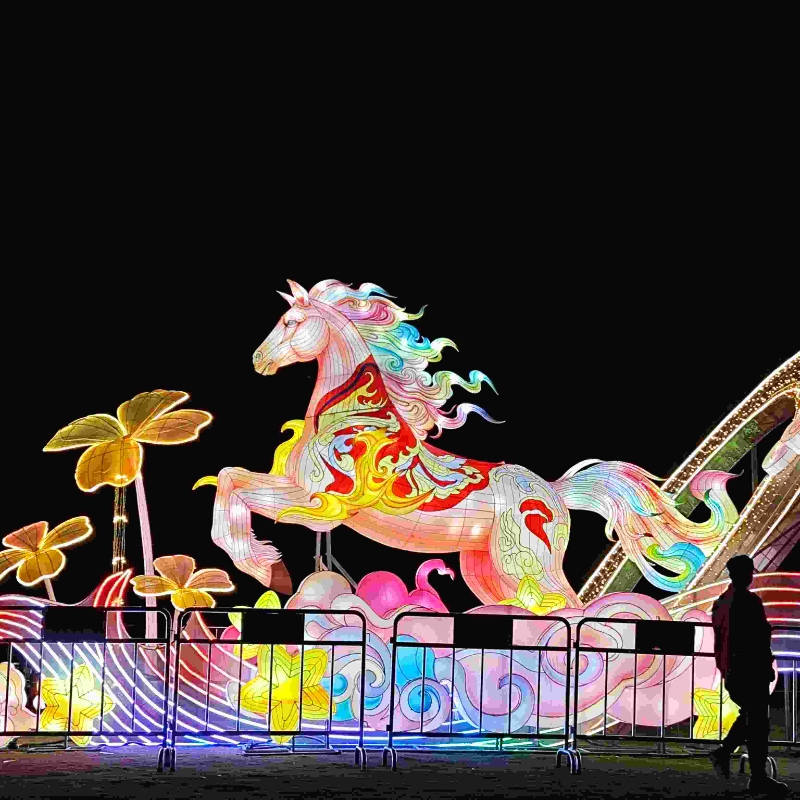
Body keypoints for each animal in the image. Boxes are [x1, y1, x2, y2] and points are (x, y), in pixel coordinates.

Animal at [198, 279, 738, 607]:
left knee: (574, 610)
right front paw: (271, 570)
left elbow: (233, 483)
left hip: (527, 562)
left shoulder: (319, 502)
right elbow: (229, 479)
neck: (351, 419)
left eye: (291, 323)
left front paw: (264, 567)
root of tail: (557, 493)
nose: (258, 360)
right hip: (491, 573)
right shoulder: (306, 502)